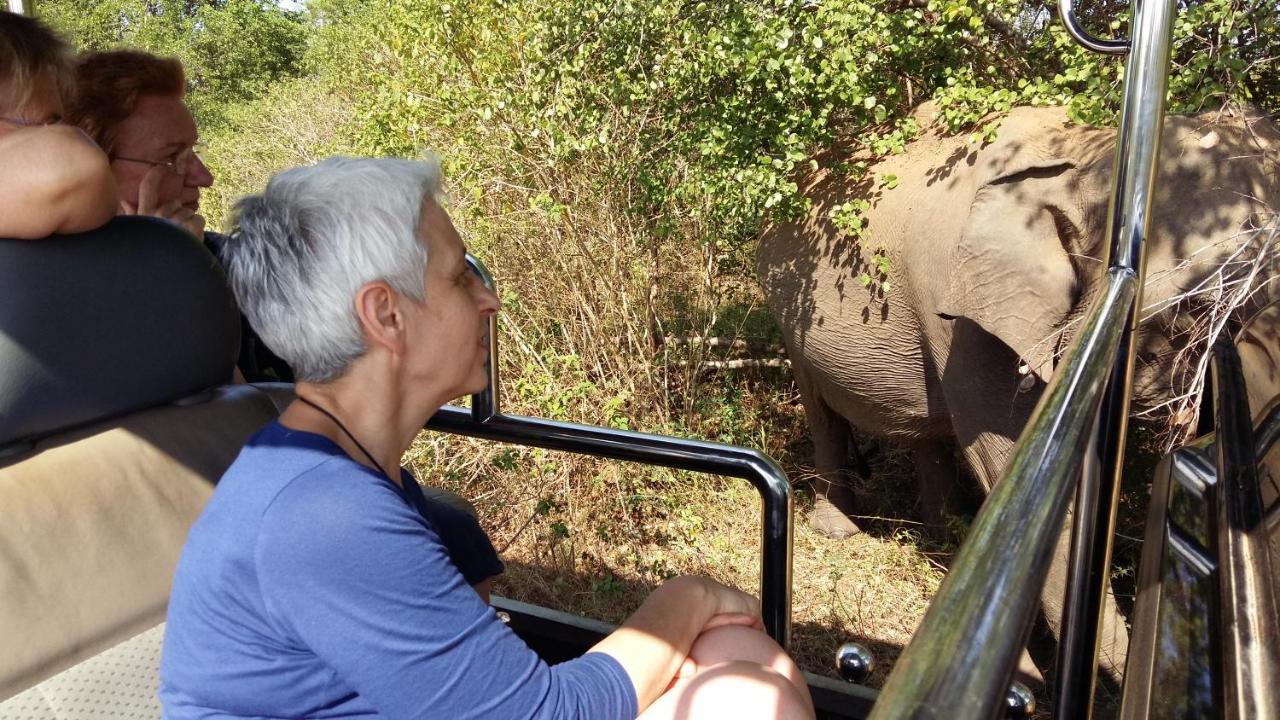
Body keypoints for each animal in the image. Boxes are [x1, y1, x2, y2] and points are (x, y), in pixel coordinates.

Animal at [757, 101, 1280, 676]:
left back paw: (945, 531)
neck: (1087, 152)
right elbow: (1013, 466)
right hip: (791, 318)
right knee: (821, 408)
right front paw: (1020, 675)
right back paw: (842, 530)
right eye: (1202, 307)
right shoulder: (962, 315)